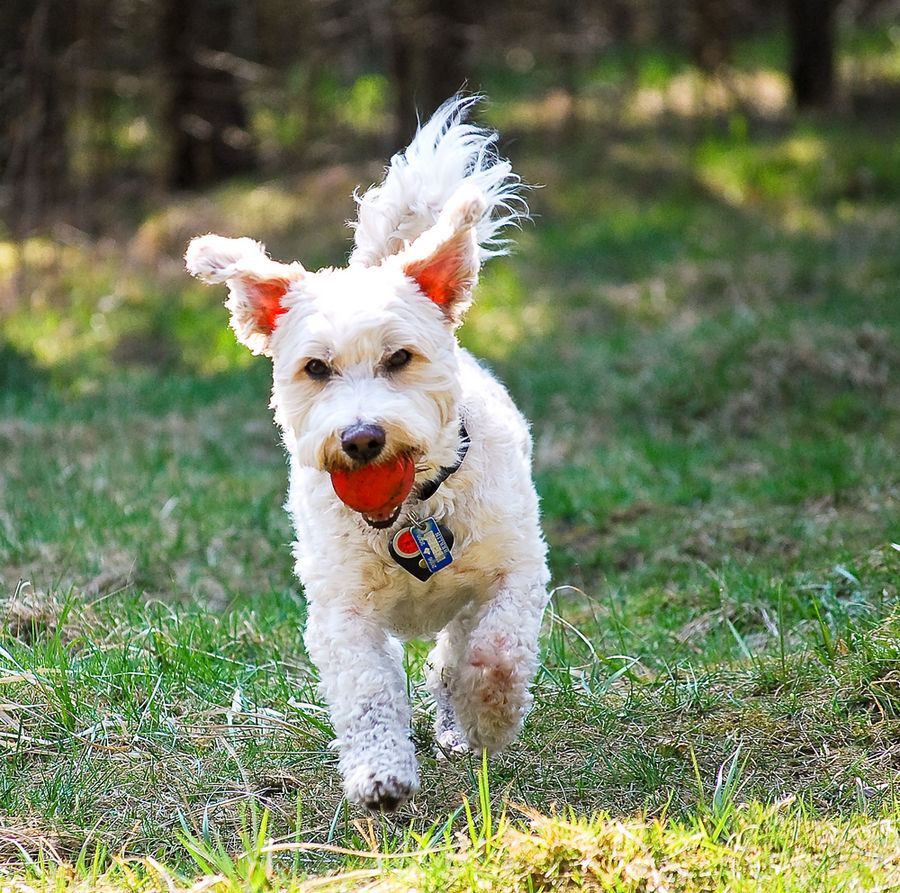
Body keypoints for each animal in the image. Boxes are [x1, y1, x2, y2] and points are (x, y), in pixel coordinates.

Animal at [185, 96, 548, 808]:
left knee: (456, 649)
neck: (410, 514)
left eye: (400, 358)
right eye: (316, 368)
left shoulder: (517, 569)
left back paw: (458, 718)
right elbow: (368, 689)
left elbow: (496, 652)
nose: (361, 437)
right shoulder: (342, 611)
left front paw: (486, 720)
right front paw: (379, 773)